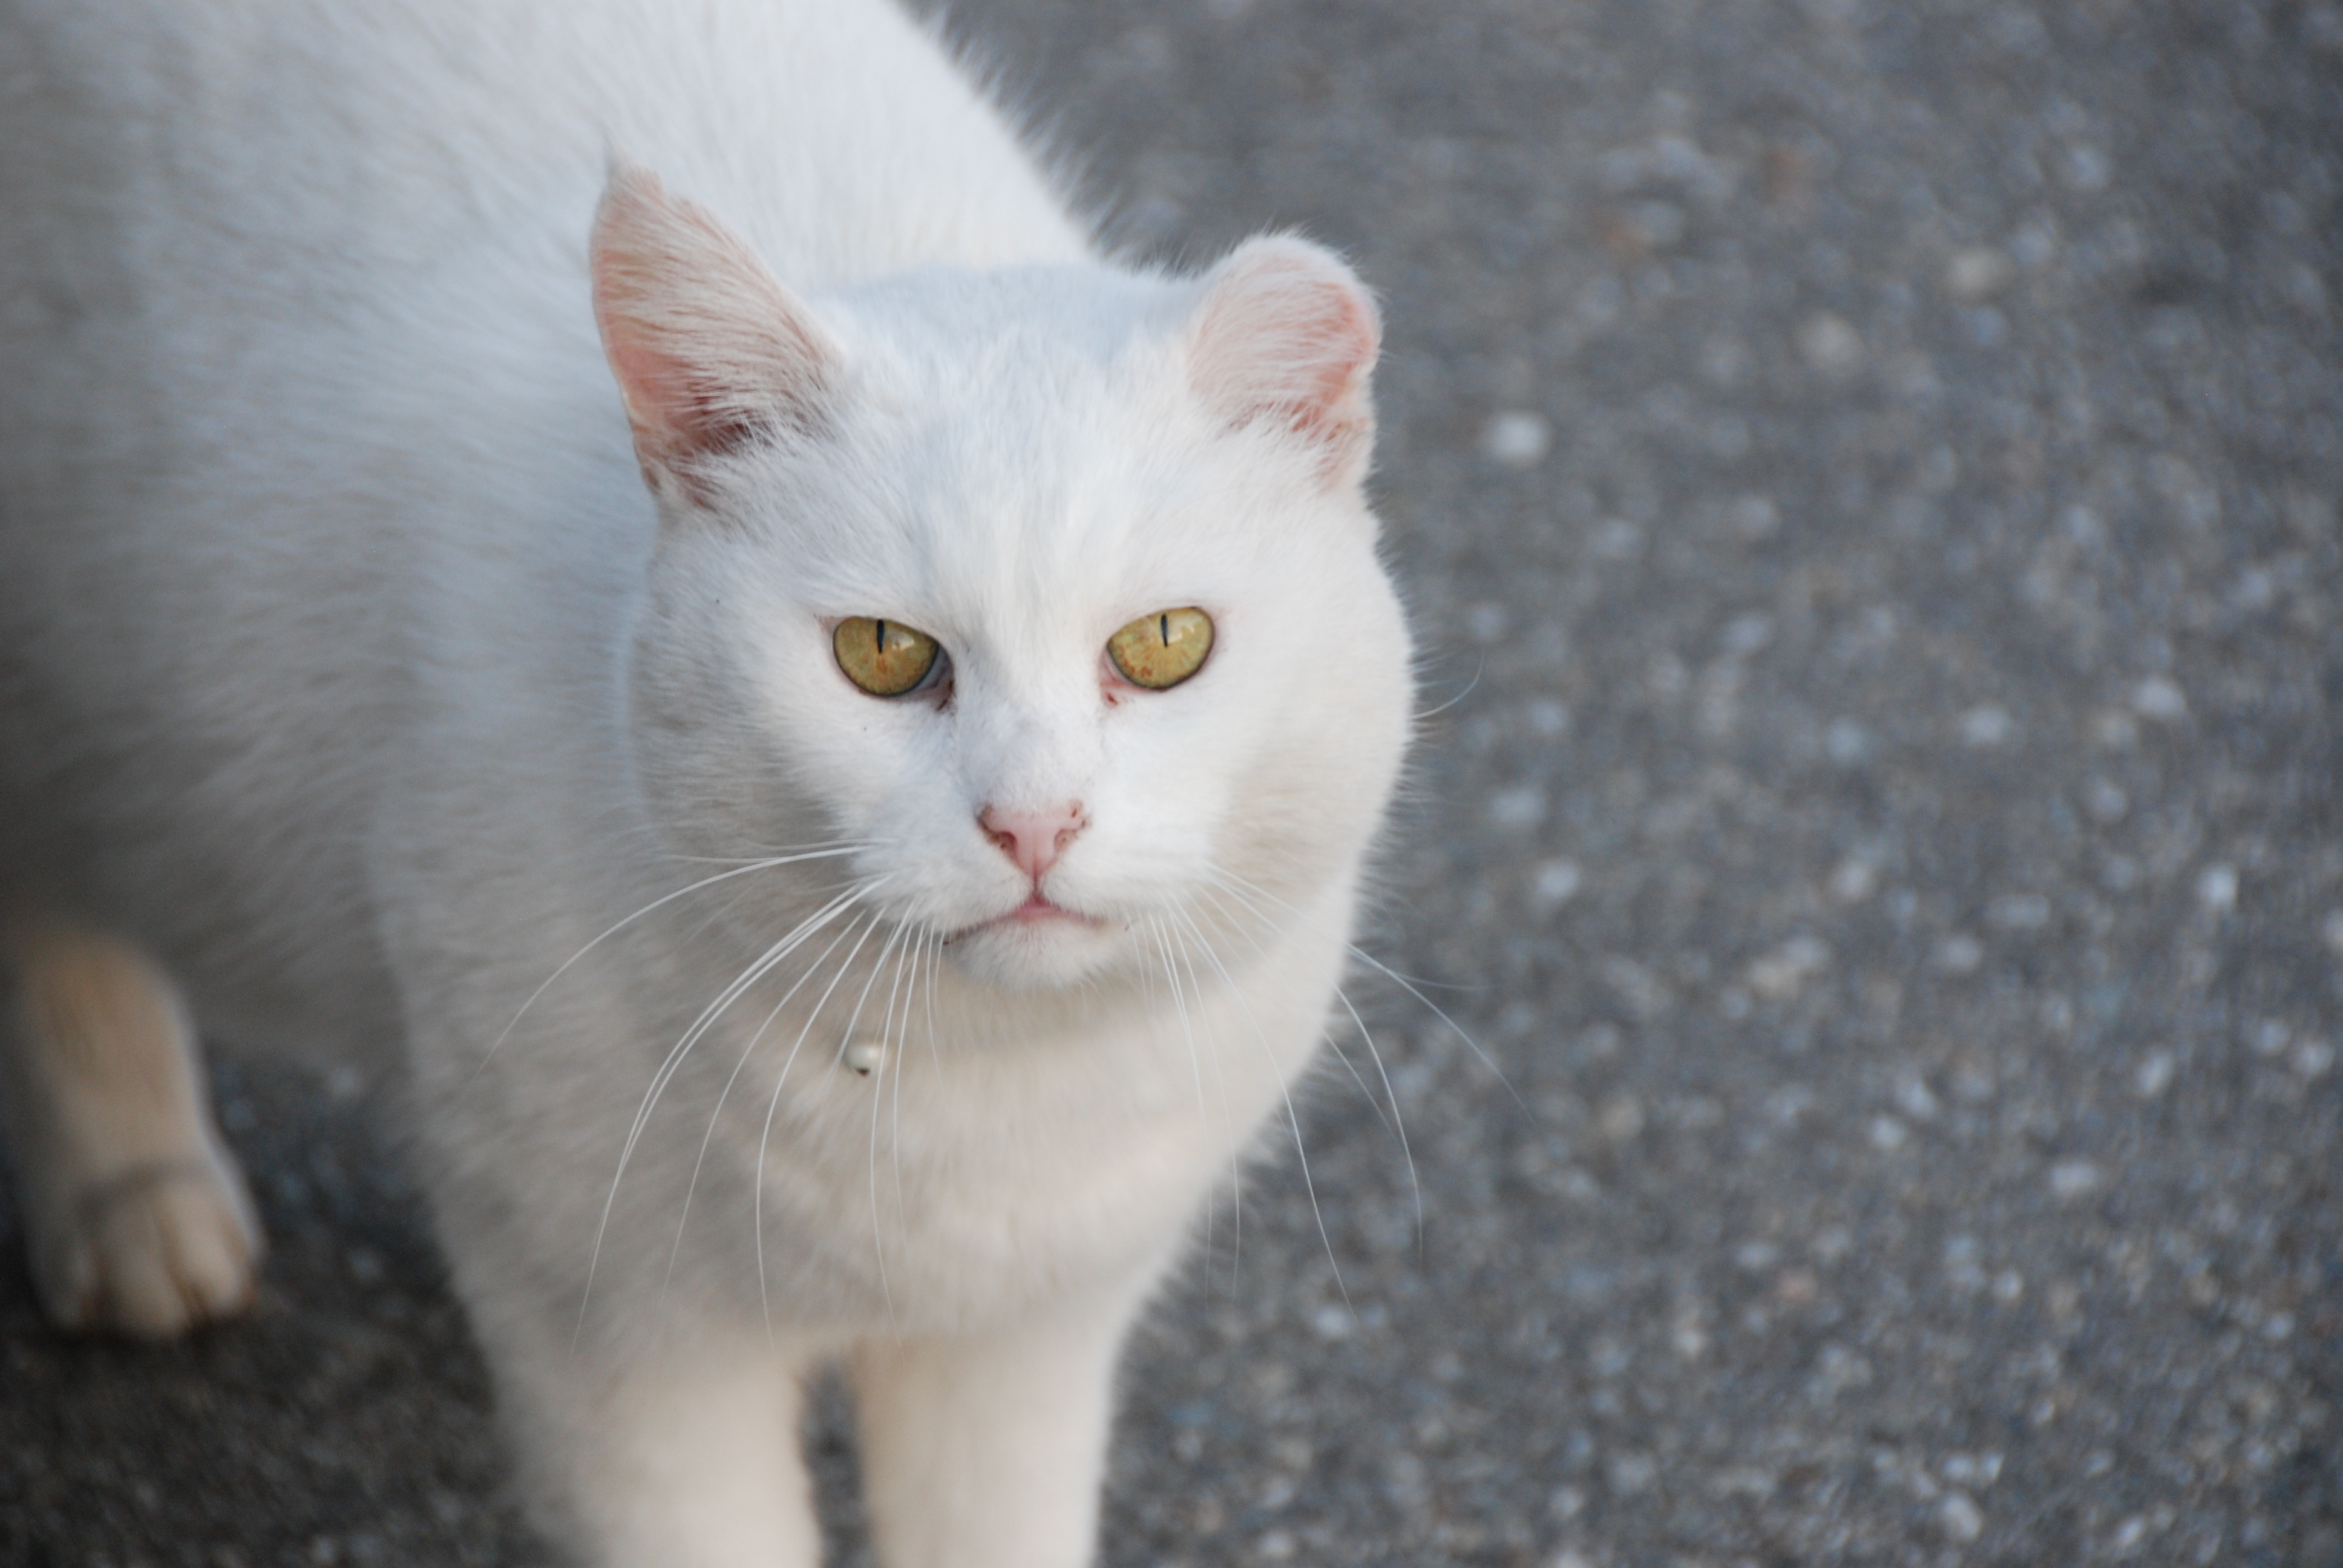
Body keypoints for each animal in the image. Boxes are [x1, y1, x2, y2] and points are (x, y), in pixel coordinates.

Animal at [0, 3, 1406, 1566]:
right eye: (881, 655)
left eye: (1163, 646)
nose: (1032, 823)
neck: (963, 1099)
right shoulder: (622, 1357)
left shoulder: (1025, 1348)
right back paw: (132, 1199)